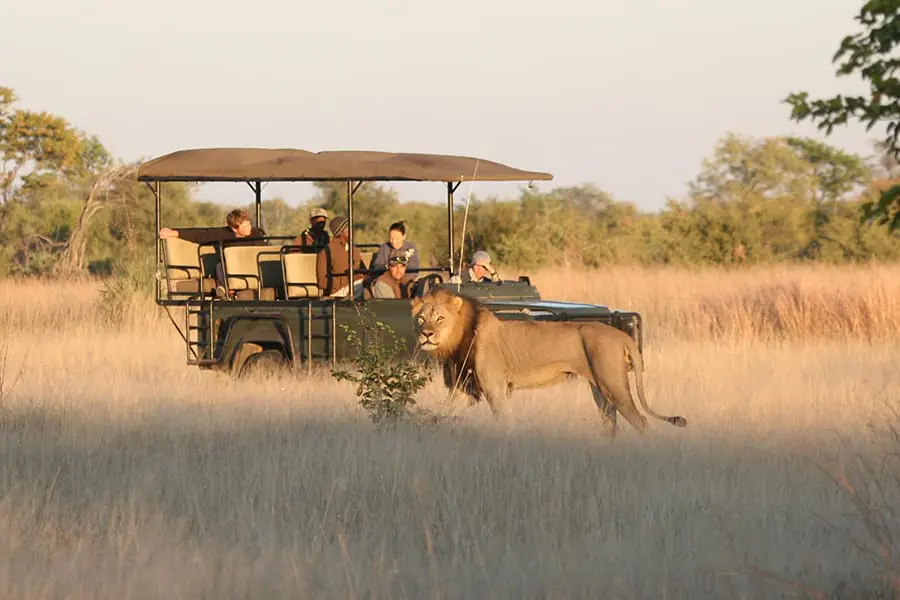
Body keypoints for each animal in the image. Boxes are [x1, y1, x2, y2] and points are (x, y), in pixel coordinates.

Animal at [410, 288, 688, 436]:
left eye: (440, 319)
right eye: (422, 318)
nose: (426, 334)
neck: (459, 338)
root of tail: (621, 334)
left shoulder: (494, 388)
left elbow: (503, 420)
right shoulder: (463, 388)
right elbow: (444, 413)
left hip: (614, 385)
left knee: (640, 421)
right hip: (599, 388)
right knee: (611, 422)